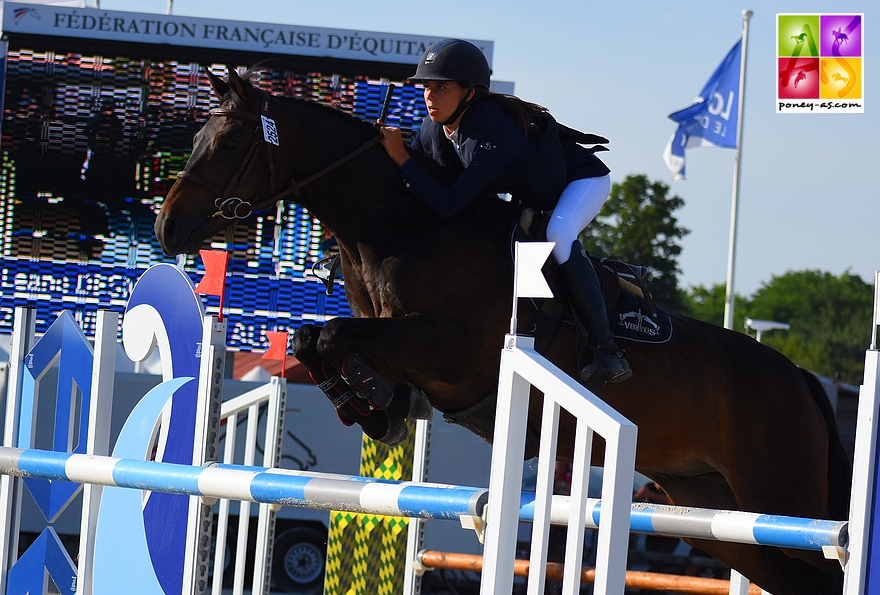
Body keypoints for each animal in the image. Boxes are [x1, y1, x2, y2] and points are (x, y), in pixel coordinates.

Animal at [155, 67, 848, 592]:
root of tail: (803, 380)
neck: (402, 226)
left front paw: (374, 404)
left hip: (784, 498)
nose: (167, 228)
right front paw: (375, 407)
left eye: (227, 145)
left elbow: (330, 337)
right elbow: (312, 339)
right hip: (714, 512)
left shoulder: (450, 352)